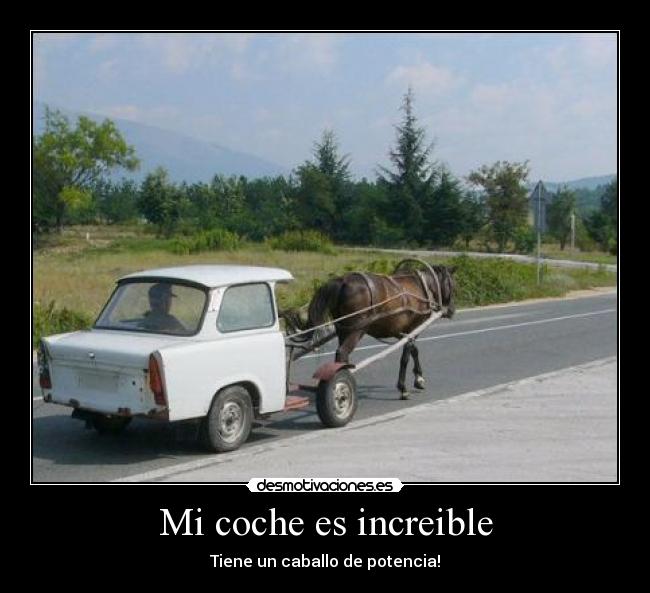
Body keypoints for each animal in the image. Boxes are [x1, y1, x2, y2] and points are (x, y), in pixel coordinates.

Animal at [284, 262, 456, 399]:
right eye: (452, 285)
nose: (452, 310)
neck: (423, 287)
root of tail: (342, 281)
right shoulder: (412, 328)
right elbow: (406, 356)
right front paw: (403, 388)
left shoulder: (404, 331)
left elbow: (415, 351)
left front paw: (419, 379)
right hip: (357, 329)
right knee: (342, 352)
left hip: (344, 329)